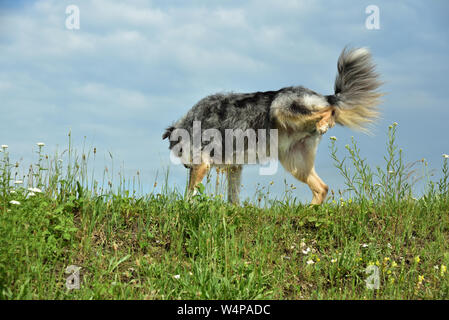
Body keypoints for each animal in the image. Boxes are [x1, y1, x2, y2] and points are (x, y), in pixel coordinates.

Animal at [163, 47, 380, 205]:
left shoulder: (201, 163)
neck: (190, 123)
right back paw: (307, 210)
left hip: (279, 107)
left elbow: (190, 191)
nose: (185, 165)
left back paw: (324, 122)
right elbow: (233, 197)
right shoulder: (235, 167)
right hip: (295, 161)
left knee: (330, 109)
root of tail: (321, 95)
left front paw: (186, 208)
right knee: (322, 188)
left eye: (179, 152)